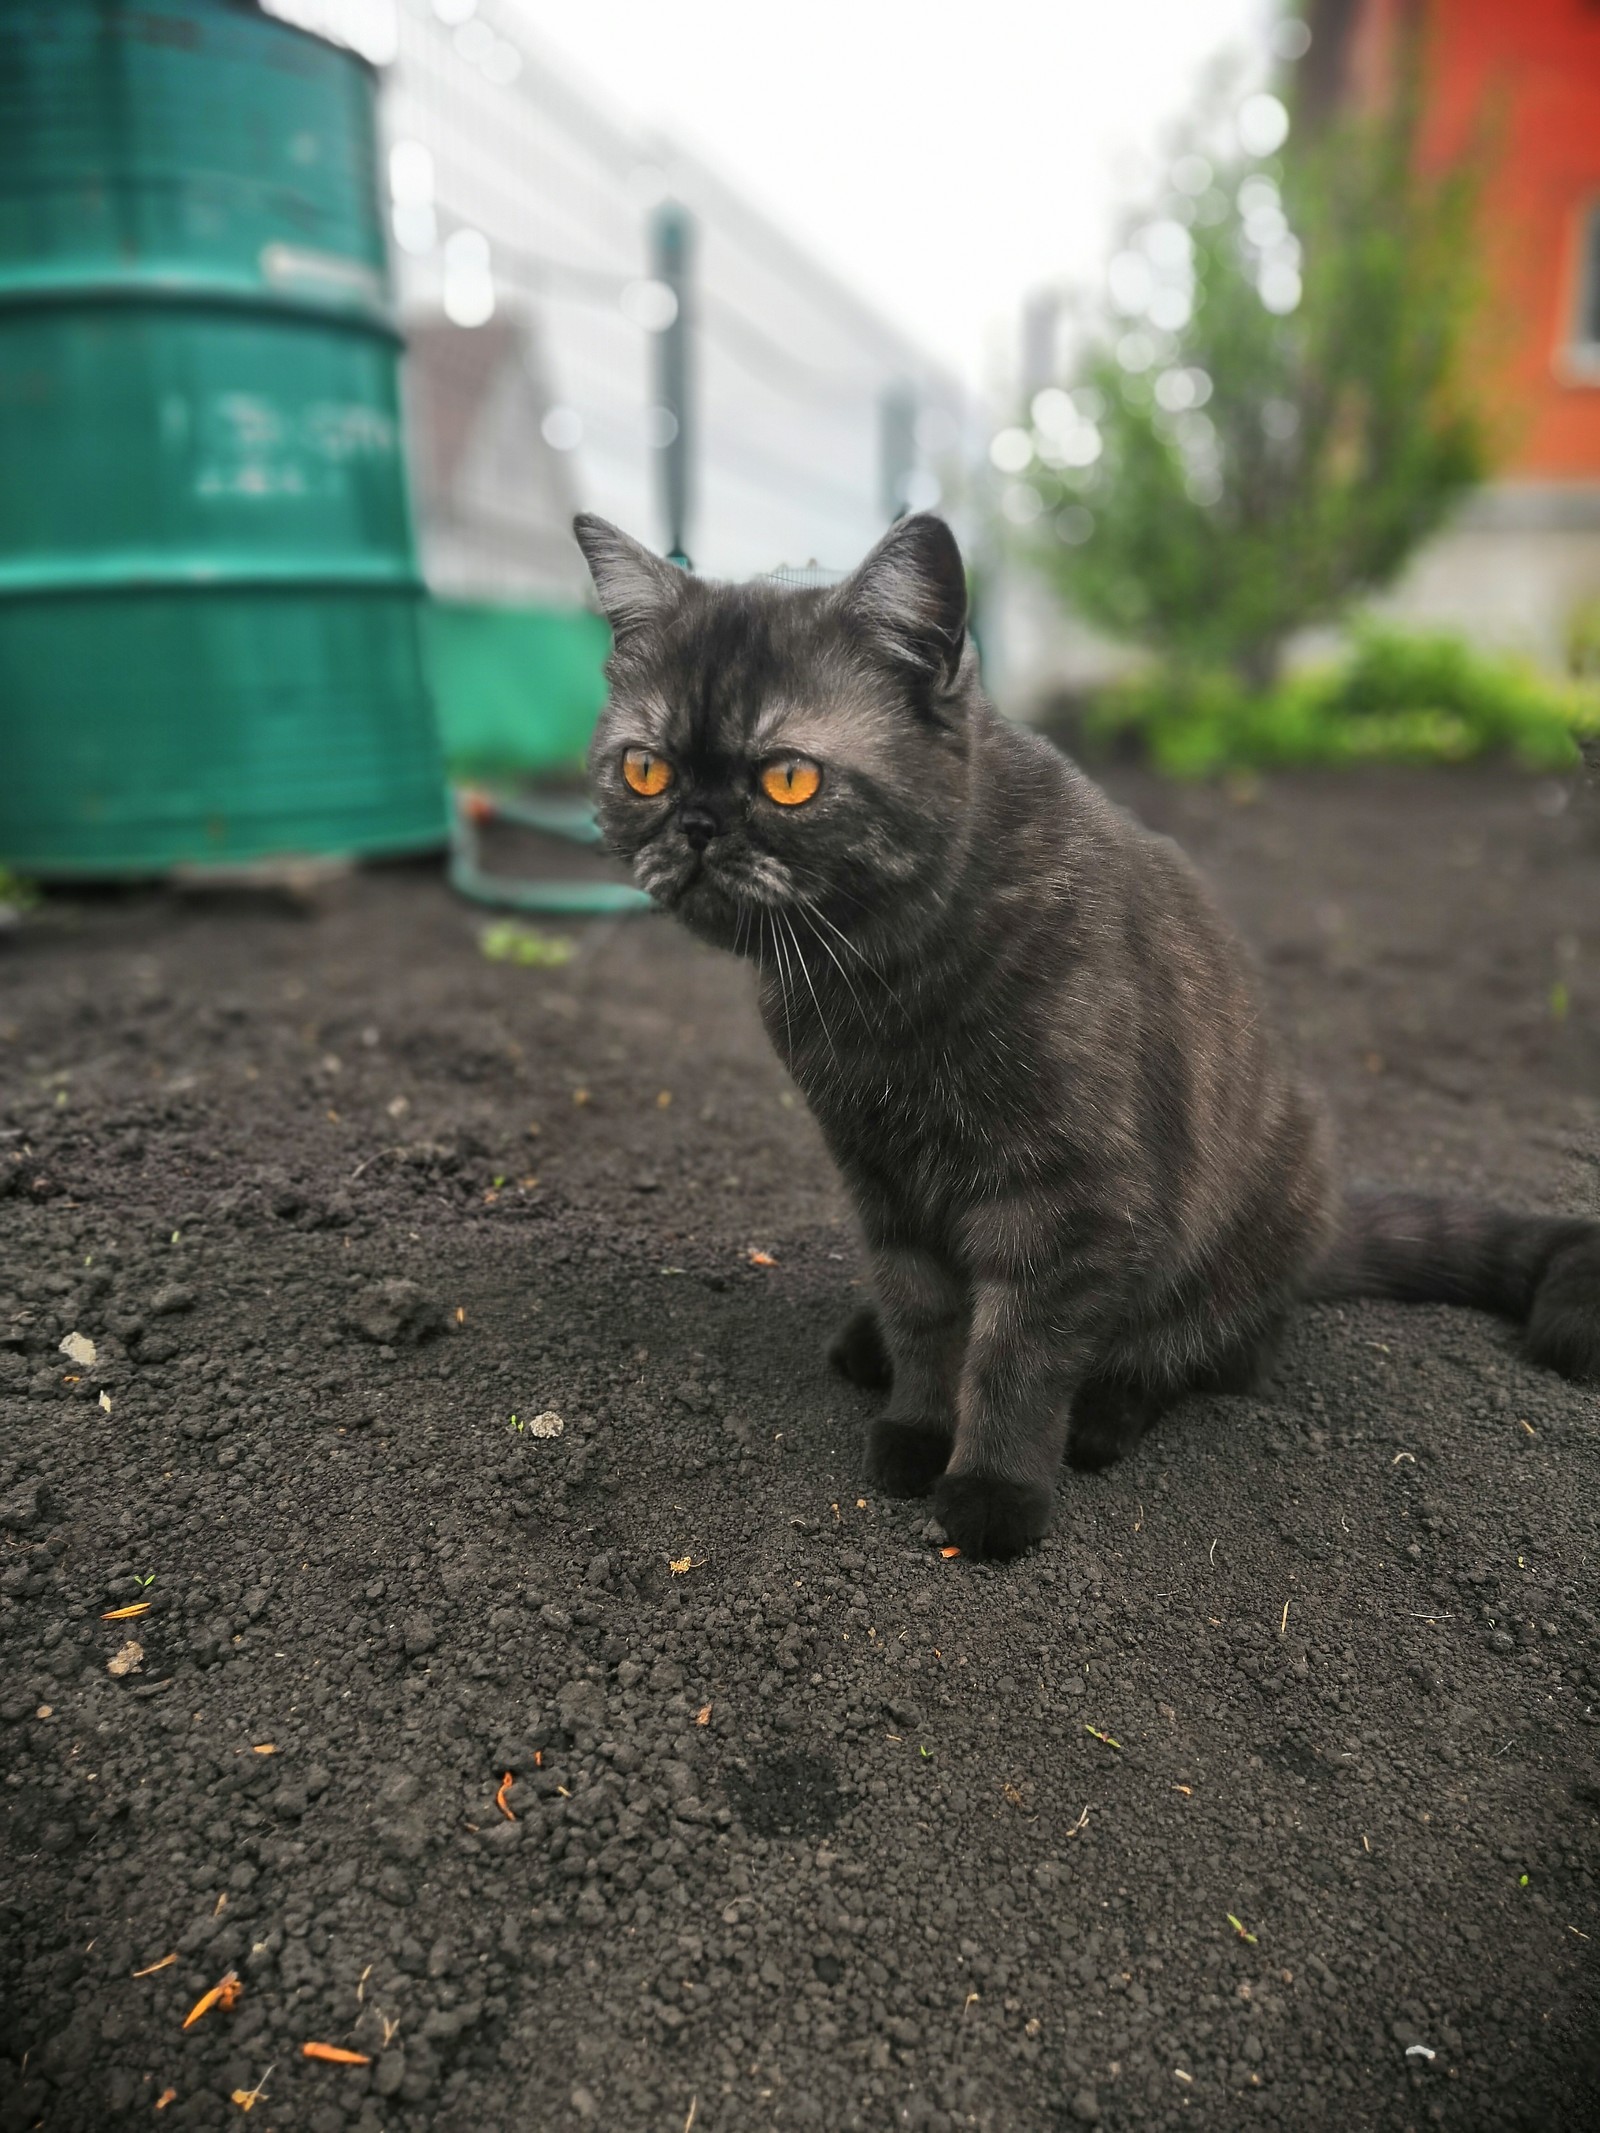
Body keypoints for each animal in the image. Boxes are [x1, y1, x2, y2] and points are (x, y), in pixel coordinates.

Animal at [576, 507, 1600, 1561]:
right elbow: (922, 1315)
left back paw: (1107, 1412)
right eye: (645, 769)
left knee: (1218, 1350)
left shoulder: (1070, 1196)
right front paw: (915, 1427)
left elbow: (1016, 1354)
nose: (696, 825)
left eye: (788, 778)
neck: (878, 986)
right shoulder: (880, 1178)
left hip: (1247, 1227)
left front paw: (991, 1489)